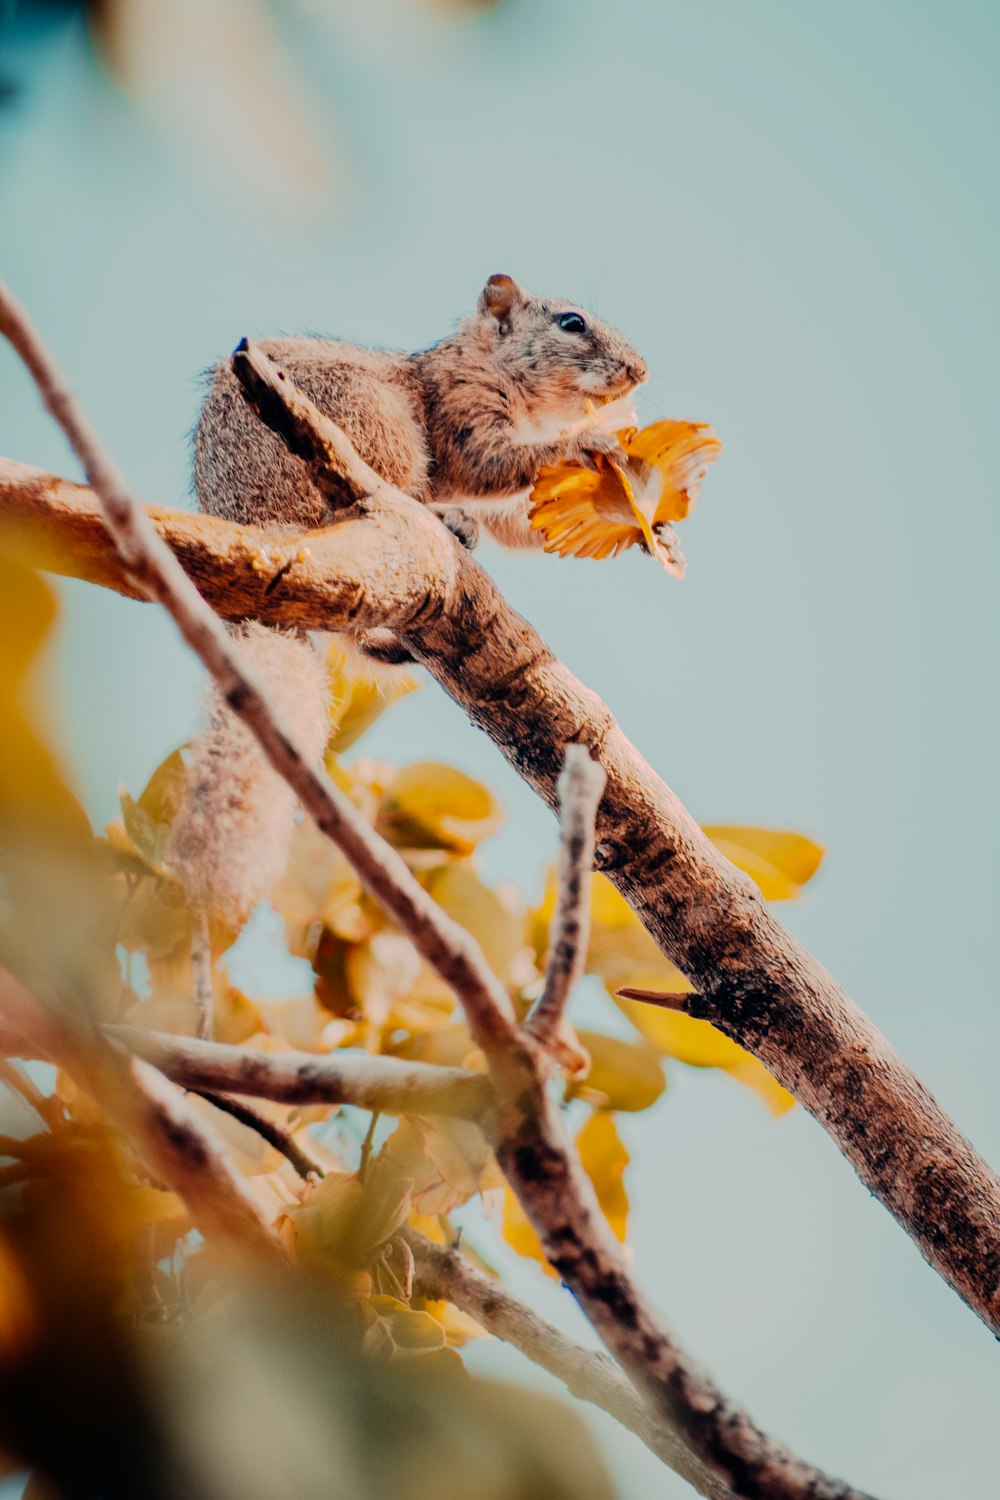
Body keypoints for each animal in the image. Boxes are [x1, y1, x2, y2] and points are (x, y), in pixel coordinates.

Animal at [172, 270, 650, 924]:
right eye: (571, 322)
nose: (640, 370)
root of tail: (258, 527)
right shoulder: (462, 413)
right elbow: (494, 465)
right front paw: (594, 443)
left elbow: (525, 520)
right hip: (369, 424)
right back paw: (442, 519)